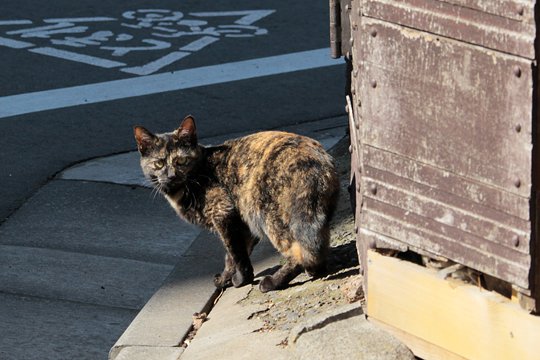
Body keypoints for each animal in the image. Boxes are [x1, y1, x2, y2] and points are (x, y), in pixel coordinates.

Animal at [134, 115, 338, 292]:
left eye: (181, 161)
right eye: (159, 164)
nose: (171, 176)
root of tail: (316, 159)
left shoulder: (223, 214)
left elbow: (235, 253)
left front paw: (241, 280)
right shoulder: (242, 223)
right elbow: (233, 255)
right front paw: (226, 278)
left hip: (269, 215)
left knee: (298, 251)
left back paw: (273, 282)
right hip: (315, 214)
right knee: (318, 243)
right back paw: (317, 269)